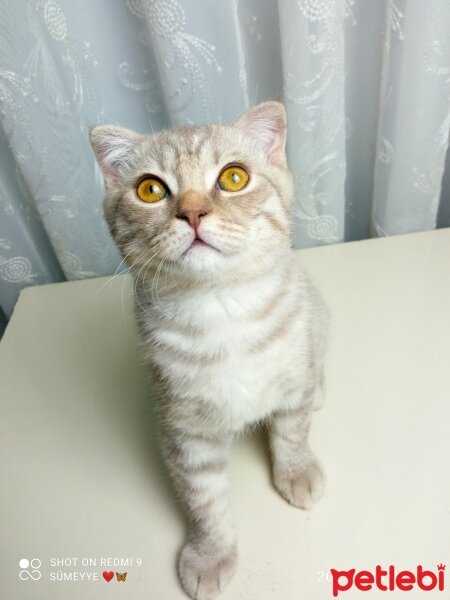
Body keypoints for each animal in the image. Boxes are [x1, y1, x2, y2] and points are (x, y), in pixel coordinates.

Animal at [89, 103, 328, 600]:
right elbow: (204, 500)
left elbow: (293, 431)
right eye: (150, 189)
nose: (193, 212)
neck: (222, 312)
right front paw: (212, 553)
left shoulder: (293, 372)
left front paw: (296, 471)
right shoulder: (184, 431)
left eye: (234, 177)